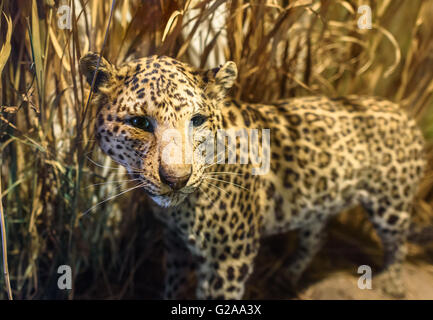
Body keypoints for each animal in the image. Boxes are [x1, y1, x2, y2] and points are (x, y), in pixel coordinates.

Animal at [78, 51, 426, 298]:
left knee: (398, 243)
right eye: (139, 123)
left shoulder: (230, 258)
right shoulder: (175, 242)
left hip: (390, 204)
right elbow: (173, 285)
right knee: (316, 235)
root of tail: (405, 113)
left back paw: (393, 284)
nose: (177, 179)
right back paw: (288, 275)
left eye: (197, 120)